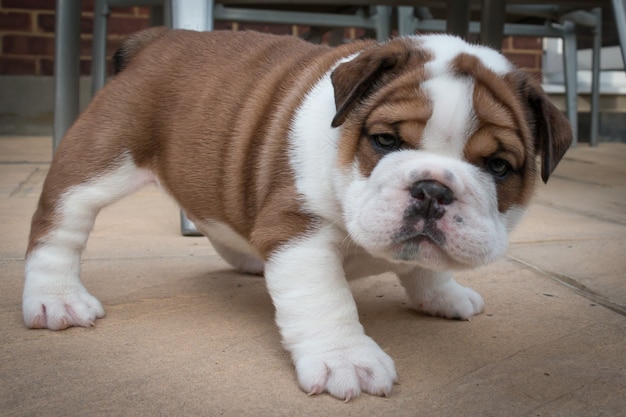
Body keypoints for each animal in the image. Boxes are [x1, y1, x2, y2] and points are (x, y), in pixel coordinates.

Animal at [23, 28, 572, 400]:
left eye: (498, 166)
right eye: (385, 140)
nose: (432, 190)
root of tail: (158, 39)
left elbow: (423, 268)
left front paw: (443, 295)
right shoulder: (298, 230)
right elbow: (325, 300)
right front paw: (345, 360)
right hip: (101, 155)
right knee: (61, 223)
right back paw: (57, 298)